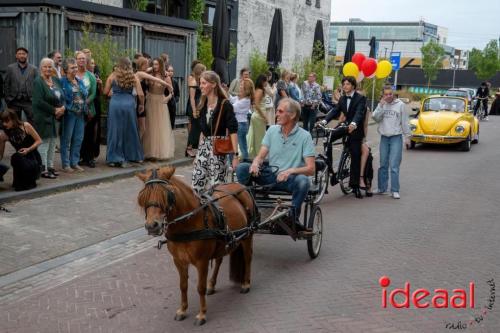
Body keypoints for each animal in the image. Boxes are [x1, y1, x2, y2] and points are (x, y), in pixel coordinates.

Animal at [136, 166, 254, 324]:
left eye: (167, 195)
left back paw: (246, 283)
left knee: (247, 258)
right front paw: (182, 310)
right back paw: (212, 285)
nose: (151, 226)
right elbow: (183, 286)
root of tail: (240, 185)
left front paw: (202, 314)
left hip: (247, 236)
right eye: (143, 196)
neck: (188, 224)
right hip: (223, 242)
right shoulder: (179, 261)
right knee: (219, 260)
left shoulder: (201, 262)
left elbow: (200, 287)